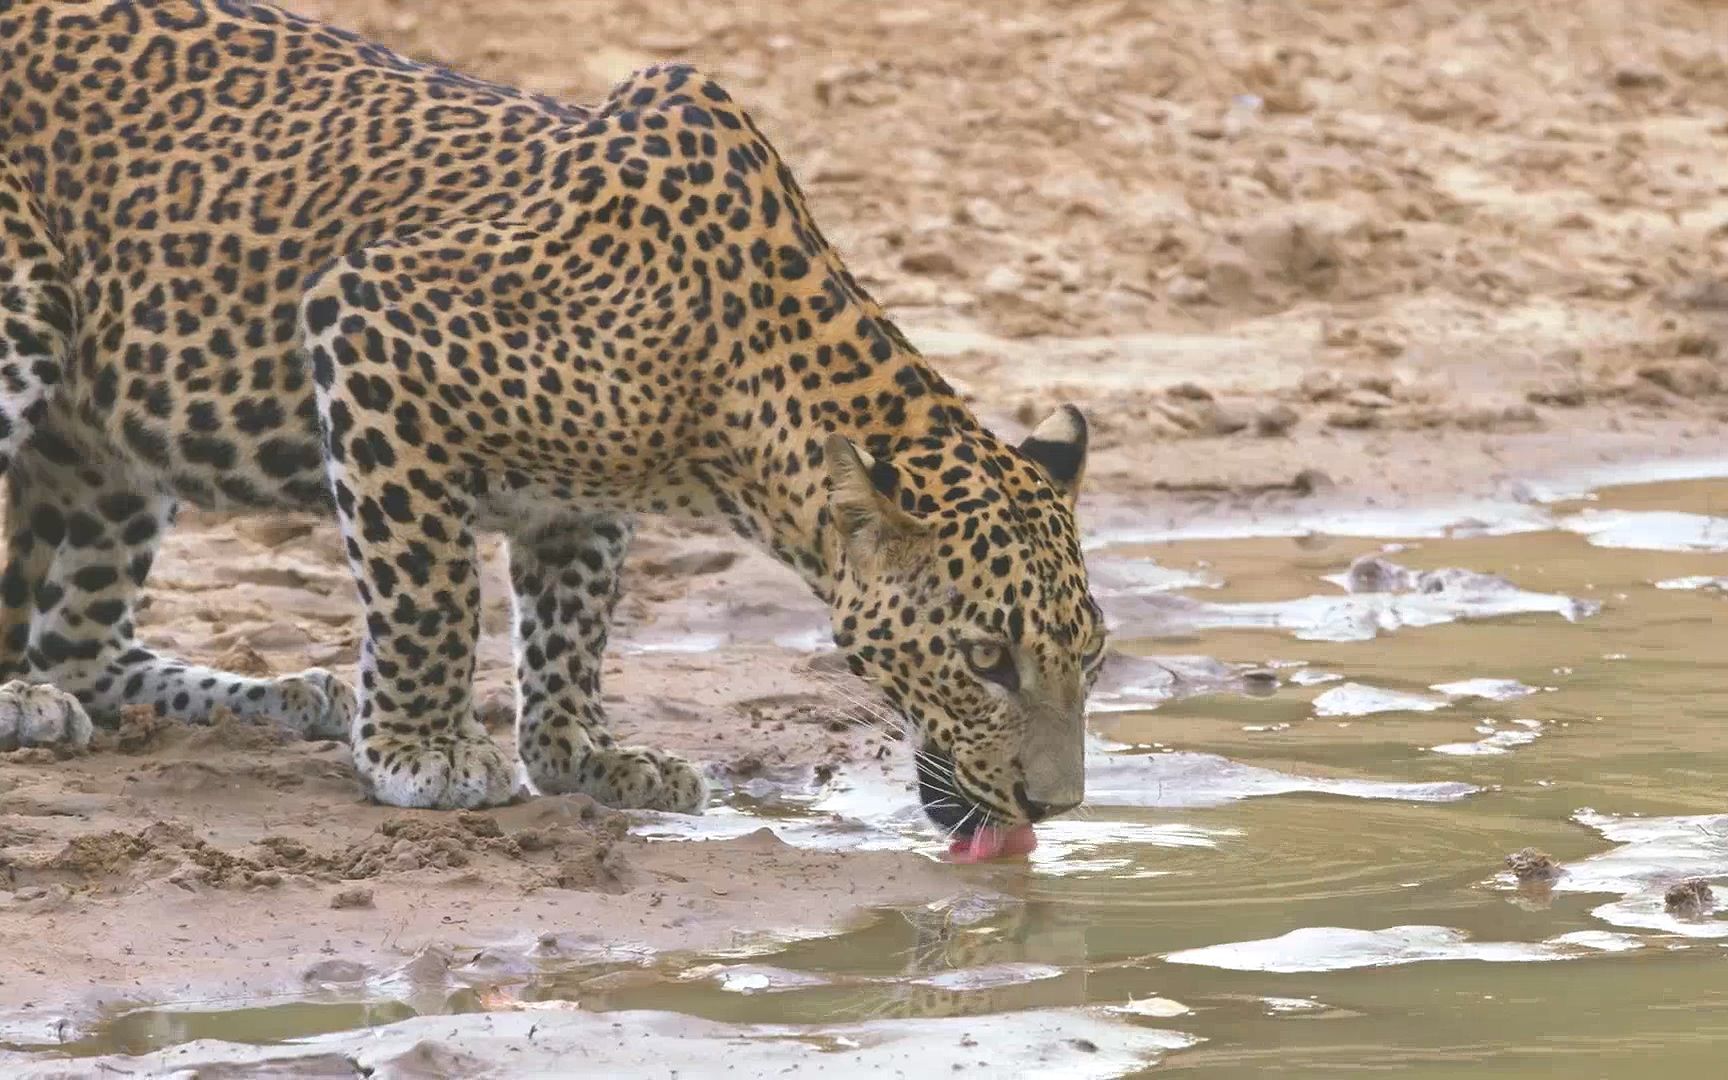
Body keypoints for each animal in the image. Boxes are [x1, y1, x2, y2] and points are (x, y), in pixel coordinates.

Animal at [0, 0, 1105, 832]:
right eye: (987, 661)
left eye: (1091, 661)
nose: (1053, 810)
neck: (737, 374)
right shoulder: (370, 323)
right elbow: (431, 591)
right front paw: (426, 751)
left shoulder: (581, 494)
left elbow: (571, 623)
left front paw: (586, 757)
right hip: (24, 315)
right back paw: (27, 704)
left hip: (109, 452)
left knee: (80, 645)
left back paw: (277, 694)